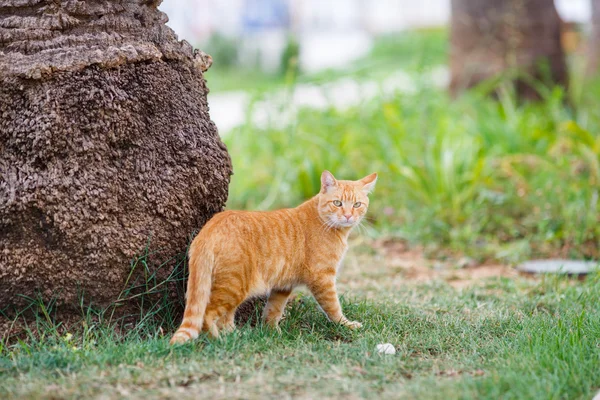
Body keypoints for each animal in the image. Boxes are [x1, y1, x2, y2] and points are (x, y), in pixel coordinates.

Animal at [170, 170, 376, 344]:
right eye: (337, 203)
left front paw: (272, 332)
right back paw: (219, 340)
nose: (348, 216)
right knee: (208, 315)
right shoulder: (322, 278)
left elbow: (273, 310)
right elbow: (333, 307)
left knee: (225, 317)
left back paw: (235, 335)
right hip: (234, 286)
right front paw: (346, 324)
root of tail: (211, 227)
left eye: (357, 205)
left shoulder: (283, 285)